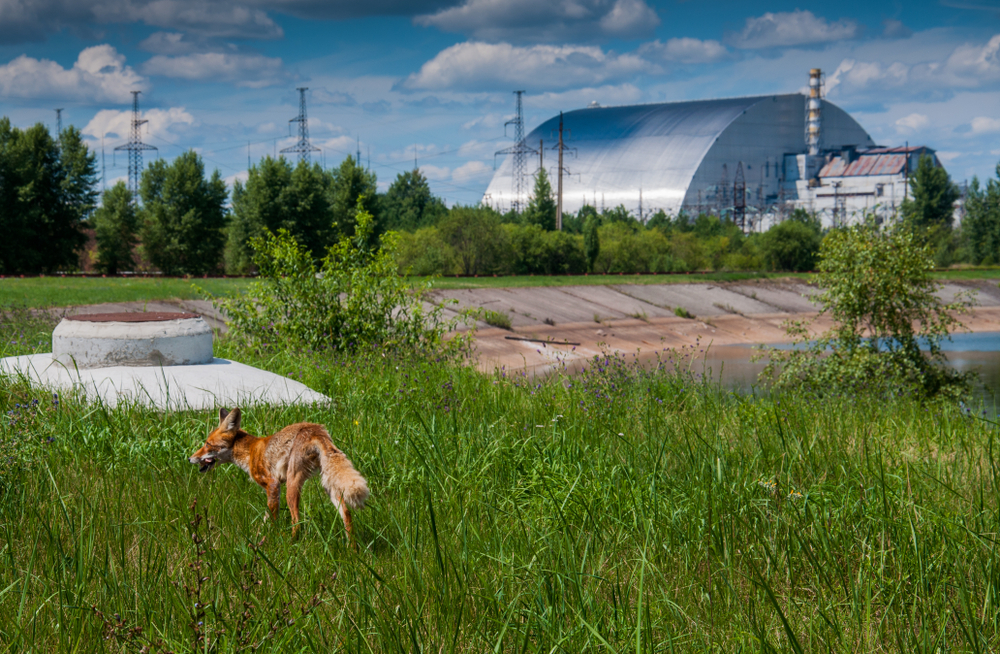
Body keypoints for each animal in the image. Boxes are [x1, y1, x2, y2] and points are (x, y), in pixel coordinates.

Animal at [188, 407, 369, 542]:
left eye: (207, 444)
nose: (190, 458)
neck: (250, 452)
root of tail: (315, 429)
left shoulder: (272, 484)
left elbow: (272, 517)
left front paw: (271, 539)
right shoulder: (276, 487)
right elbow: (266, 516)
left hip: (292, 484)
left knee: (297, 520)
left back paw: (292, 544)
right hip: (328, 484)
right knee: (346, 513)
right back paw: (352, 550)